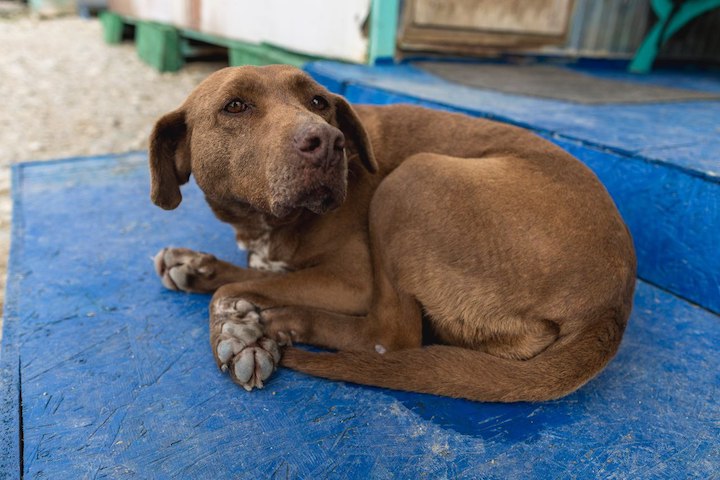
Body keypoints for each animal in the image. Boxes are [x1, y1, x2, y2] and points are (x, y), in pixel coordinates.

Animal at [148, 63, 636, 402]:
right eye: (235, 106)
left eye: (319, 102)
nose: (328, 143)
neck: (267, 222)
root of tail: (613, 305)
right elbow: (254, 272)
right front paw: (200, 268)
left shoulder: (353, 281)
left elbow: (238, 288)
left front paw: (235, 330)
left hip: (409, 180)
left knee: (390, 337)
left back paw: (282, 322)